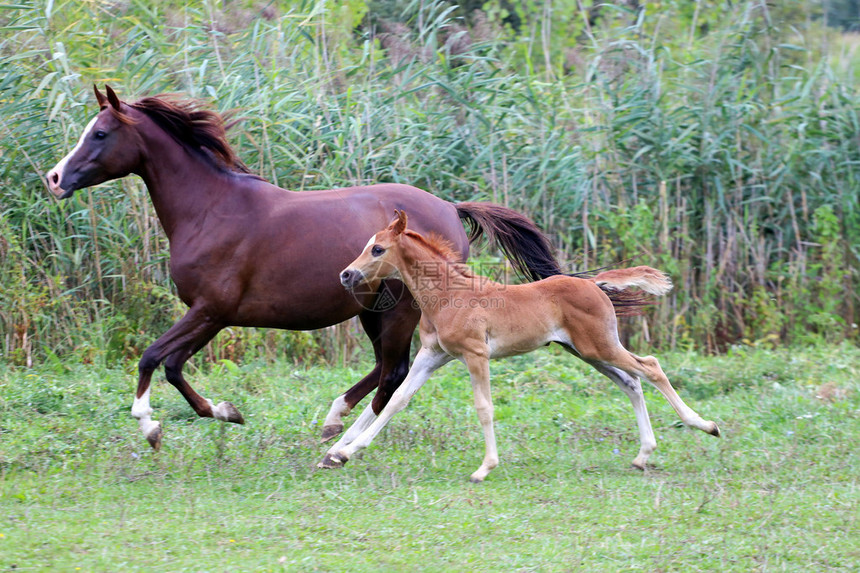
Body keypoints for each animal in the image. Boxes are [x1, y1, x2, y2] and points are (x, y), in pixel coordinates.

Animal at [45, 86, 564, 452]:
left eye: (100, 133)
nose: (54, 178)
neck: (211, 210)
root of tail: (451, 209)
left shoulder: (211, 310)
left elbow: (153, 357)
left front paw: (151, 425)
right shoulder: (209, 315)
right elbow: (171, 364)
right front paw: (226, 411)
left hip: (401, 311)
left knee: (393, 372)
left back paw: (344, 440)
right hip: (371, 310)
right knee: (385, 368)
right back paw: (335, 421)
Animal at [320, 212, 720, 480]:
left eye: (377, 249)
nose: (346, 274)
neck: (448, 294)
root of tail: (593, 284)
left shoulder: (475, 354)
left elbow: (484, 407)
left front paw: (485, 467)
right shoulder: (433, 355)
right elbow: (397, 400)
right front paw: (345, 451)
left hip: (600, 346)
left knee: (650, 366)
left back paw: (705, 425)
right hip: (586, 352)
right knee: (631, 382)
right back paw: (643, 455)